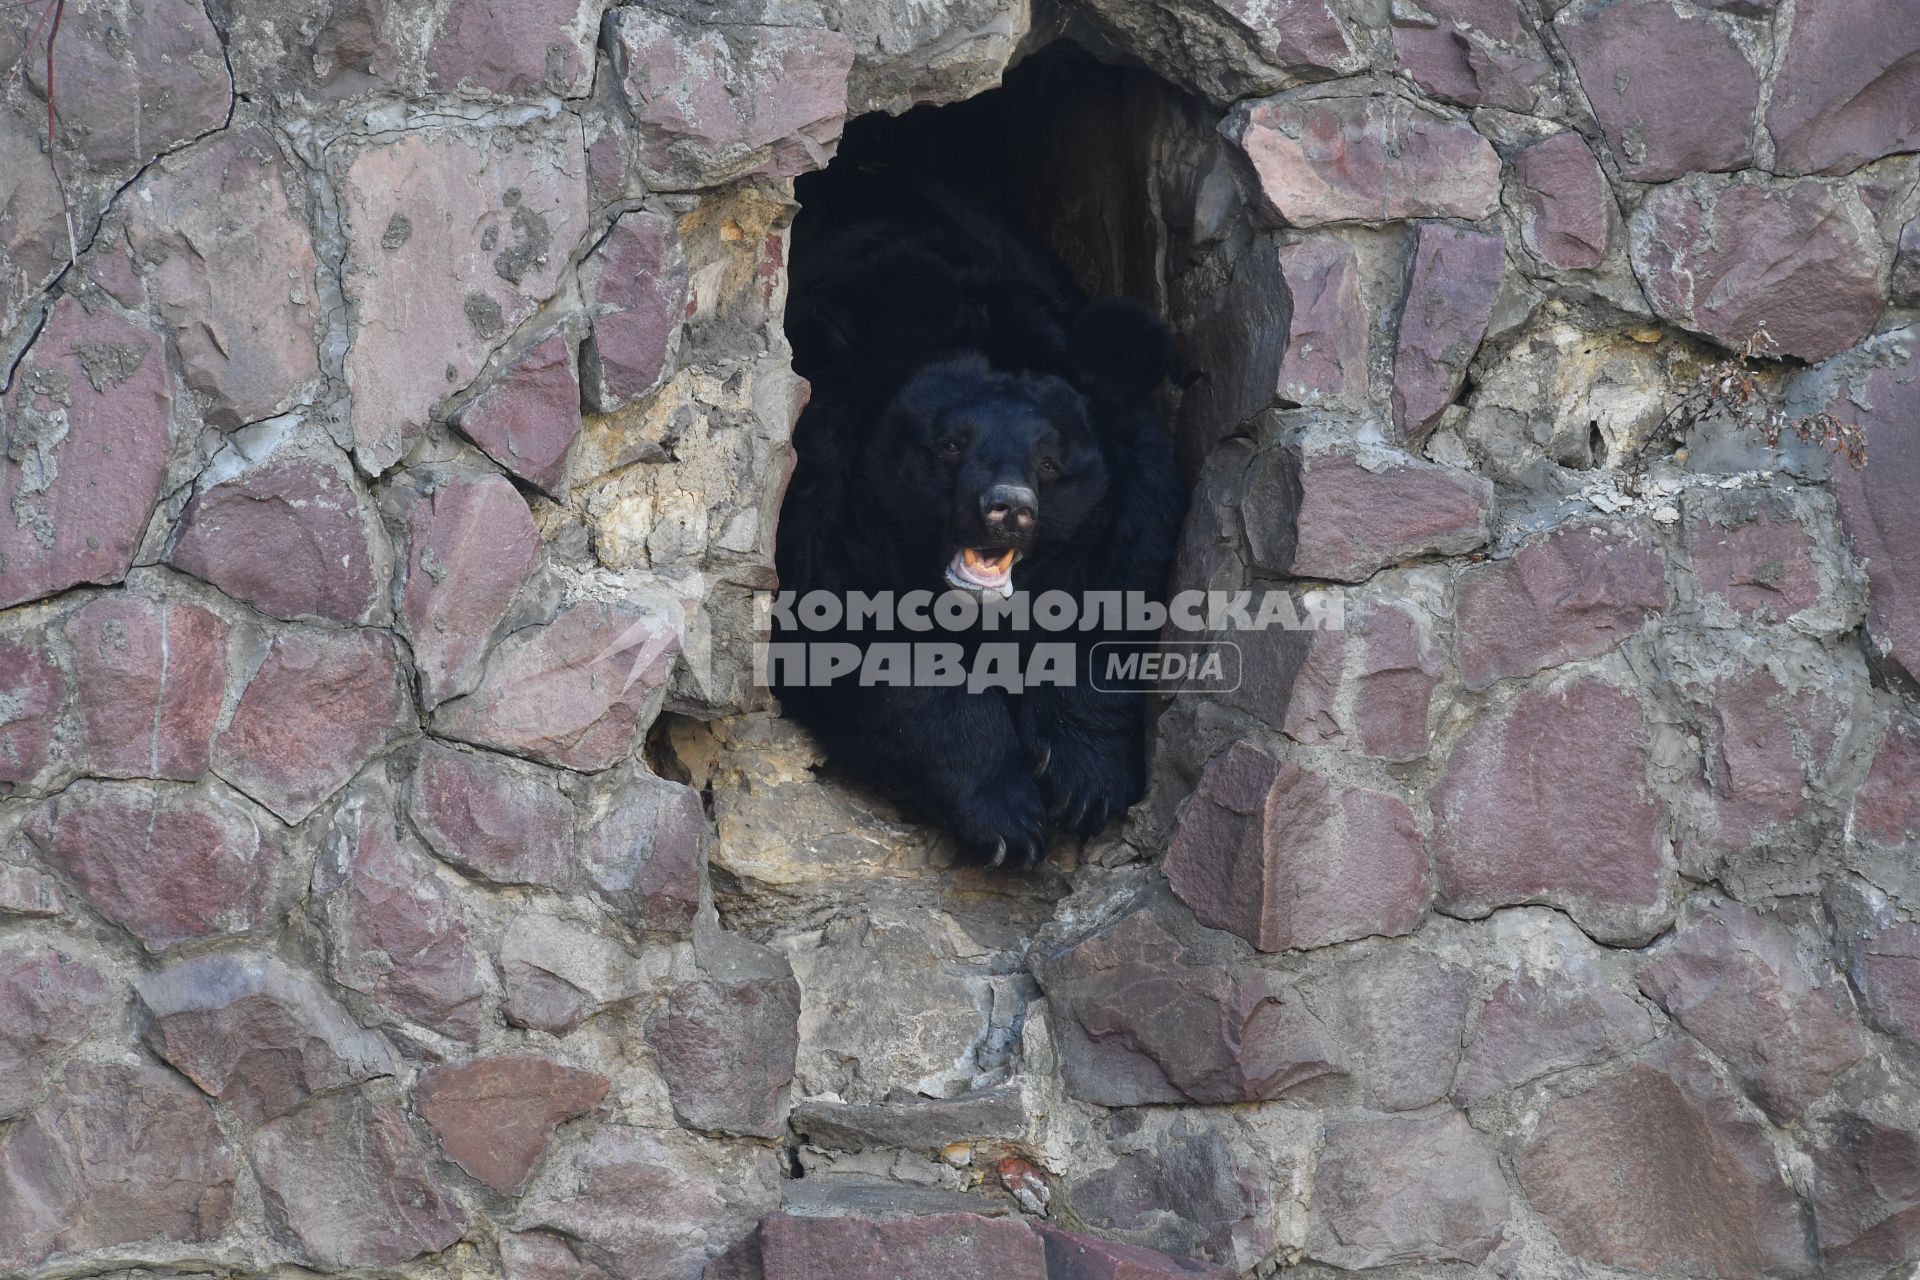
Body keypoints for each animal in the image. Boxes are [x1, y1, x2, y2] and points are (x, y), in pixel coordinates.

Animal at [768, 172, 1182, 871]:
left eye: (1050, 463)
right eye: (950, 445)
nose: (1009, 509)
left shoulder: (1128, 525)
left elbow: (1103, 625)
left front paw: (1085, 783)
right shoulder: (824, 516)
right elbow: (870, 655)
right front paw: (1007, 819)